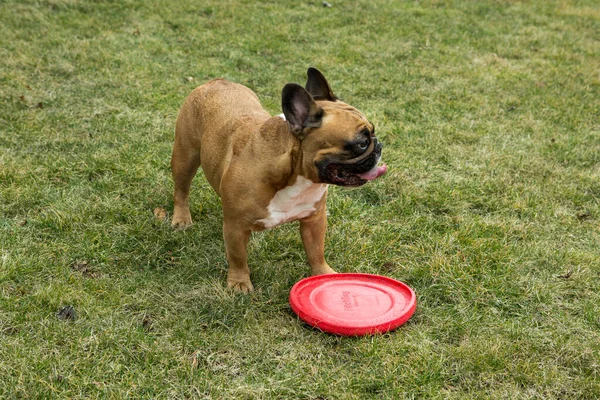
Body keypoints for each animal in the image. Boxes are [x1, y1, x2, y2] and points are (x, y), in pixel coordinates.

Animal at [170, 69, 384, 292]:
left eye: (373, 132)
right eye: (361, 143)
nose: (378, 145)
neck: (297, 178)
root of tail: (217, 82)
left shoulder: (314, 220)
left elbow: (316, 251)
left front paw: (324, 274)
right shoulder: (235, 227)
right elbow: (237, 257)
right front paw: (239, 282)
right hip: (185, 157)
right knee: (181, 190)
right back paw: (181, 219)